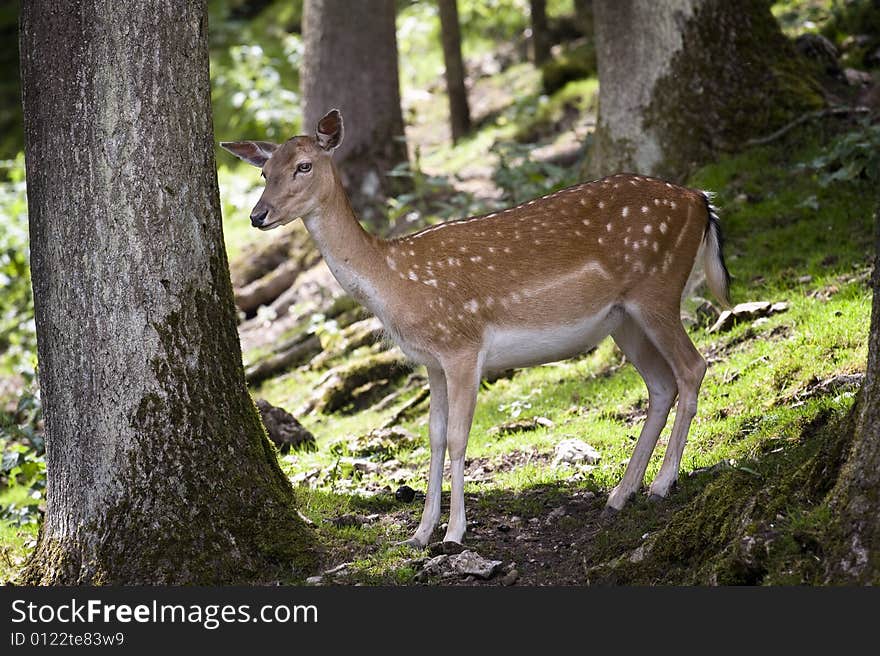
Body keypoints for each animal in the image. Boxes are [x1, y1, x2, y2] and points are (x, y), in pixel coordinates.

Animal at [220, 109, 728, 548]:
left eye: (303, 166)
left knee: (693, 366)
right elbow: (434, 437)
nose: (257, 215)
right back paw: (621, 495)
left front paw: (454, 534)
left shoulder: (462, 345)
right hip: (623, 319)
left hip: (657, 289)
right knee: (660, 384)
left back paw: (662, 484)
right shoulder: (431, 362)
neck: (394, 281)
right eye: (265, 173)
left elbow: (459, 437)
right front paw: (420, 533)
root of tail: (700, 200)